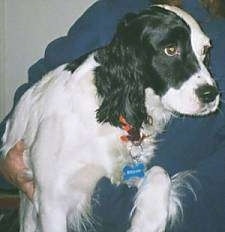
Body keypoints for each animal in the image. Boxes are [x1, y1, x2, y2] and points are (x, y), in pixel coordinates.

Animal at [0, 5, 219, 232]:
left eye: (205, 50)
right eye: (170, 49)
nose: (211, 94)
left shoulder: (126, 171)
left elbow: (159, 172)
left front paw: (147, 220)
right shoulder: (52, 202)